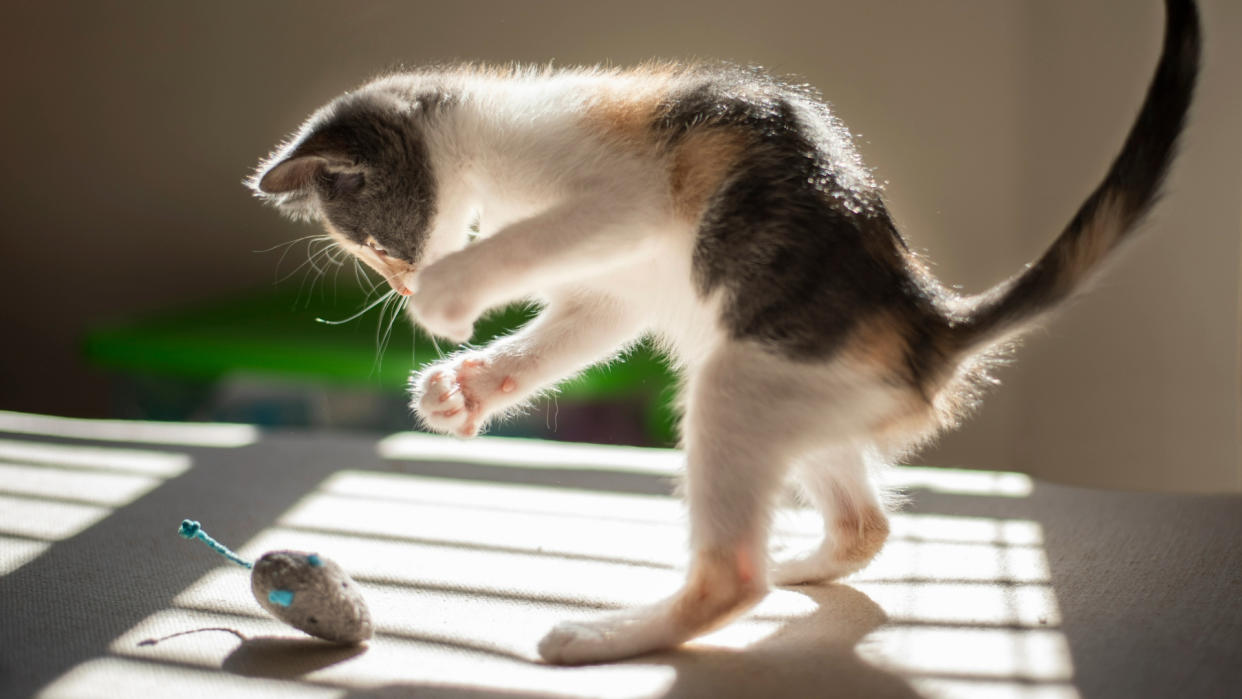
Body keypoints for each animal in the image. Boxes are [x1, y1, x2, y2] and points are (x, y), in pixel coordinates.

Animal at [249, 0, 1192, 665]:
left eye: (379, 247)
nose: (402, 285)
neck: (490, 132)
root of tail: (928, 326)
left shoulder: (621, 199)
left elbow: (535, 241)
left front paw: (449, 302)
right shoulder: (615, 287)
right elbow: (582, 326)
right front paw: (466, 385)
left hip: (744, 378)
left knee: (733, 576)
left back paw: (609, 635)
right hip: (803, 398)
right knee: (861, 525)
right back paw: (796, 558)